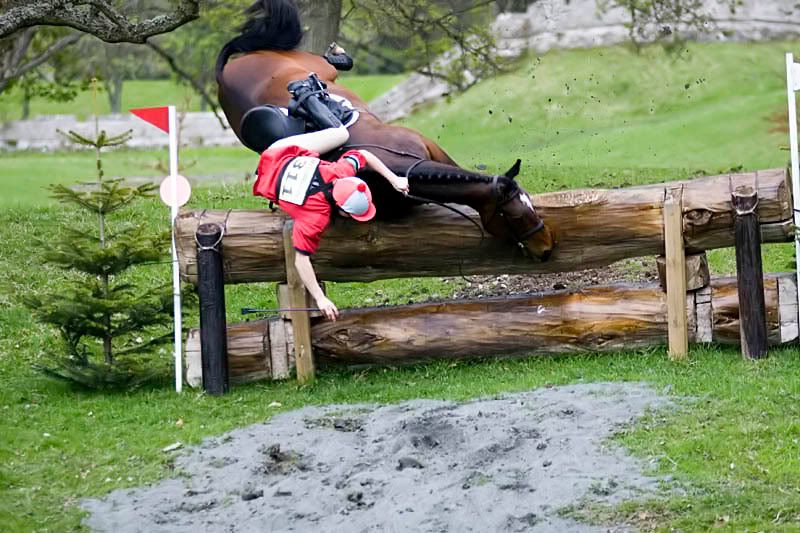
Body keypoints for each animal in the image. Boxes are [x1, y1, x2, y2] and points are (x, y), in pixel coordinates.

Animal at [215, 0, 555, 261]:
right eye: (514, 216)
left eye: (528, 200)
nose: (547, 248)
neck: (401, 164)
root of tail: (225, 72)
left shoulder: (434, 152)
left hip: (315, 67)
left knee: (328, 63)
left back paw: (333, 59)